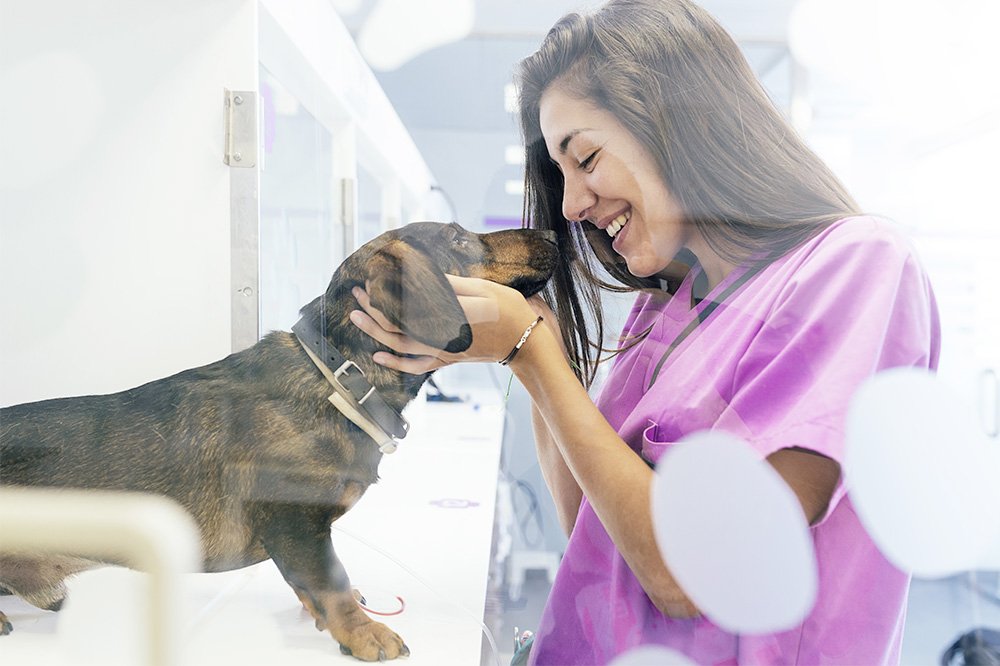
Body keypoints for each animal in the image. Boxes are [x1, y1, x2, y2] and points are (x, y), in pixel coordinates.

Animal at [0, 222, 560, 660]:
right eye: (459, 238)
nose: (555, 234)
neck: (340, 379)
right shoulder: (296, 522)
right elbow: (331, 585)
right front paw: (365, 634)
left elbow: (318, 586)